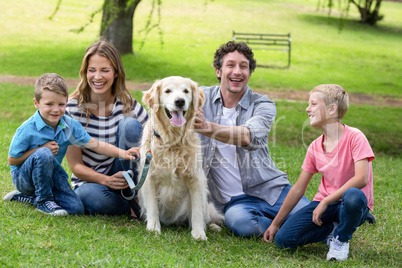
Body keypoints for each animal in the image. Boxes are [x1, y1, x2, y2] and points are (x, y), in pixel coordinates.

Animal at [139, 76, 225, 241]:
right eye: (167, 91)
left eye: (186, 91)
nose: (179, 101)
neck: (173, 140)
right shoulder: (149, 178)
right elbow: (152, 207)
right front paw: (153, 229)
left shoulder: (196, 179)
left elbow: (197, 211)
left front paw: (199, 234)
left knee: (206, 215)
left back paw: (213, 227)